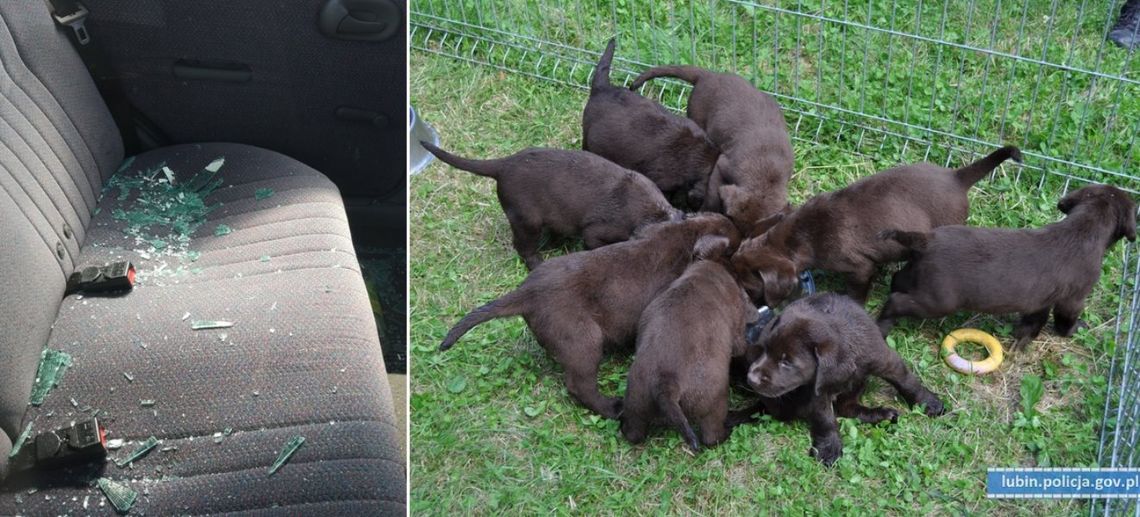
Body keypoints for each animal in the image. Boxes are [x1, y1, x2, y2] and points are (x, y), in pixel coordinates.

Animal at [875, 183, 1135, 348]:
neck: (1084, 228)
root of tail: (927, 240)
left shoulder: (1040, 300)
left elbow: (1033, 320)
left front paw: (1023, 339)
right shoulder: (1073, 299)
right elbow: (1065, 321)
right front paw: (1076, 330)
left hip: (917, 276)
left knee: (897, 281)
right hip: (937, 301)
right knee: (896, 301)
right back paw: (883, 325)